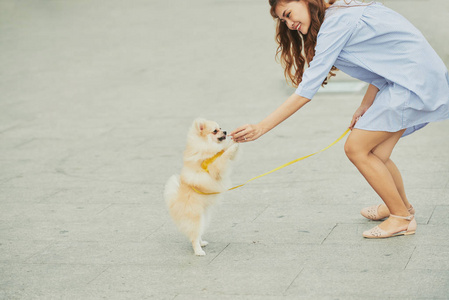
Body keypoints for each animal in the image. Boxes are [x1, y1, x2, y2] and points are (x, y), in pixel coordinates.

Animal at [164, 118, 238, 254]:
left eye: (221, 128)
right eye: (215, 131)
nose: (225, 131)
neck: (206, 144)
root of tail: (175, 203)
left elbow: (225, 150)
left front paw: (234, 140)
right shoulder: (215, 166)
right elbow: (224, 155)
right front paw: (235, 144)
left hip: (203, 217)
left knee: (197, 234)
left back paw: (201, 243)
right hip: (195, 218)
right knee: (193, 236)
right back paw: (198, 251)